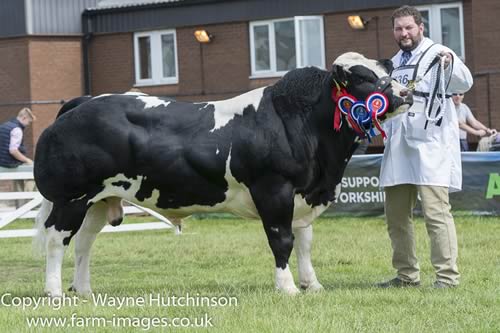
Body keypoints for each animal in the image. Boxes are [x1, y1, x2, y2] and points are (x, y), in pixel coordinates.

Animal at [33, 52, 412, 296]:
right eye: (361, 78)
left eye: (386, 71)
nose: (406, 93)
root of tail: (83, 102)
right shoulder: (274, 189)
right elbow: (282, 240)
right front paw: (288, 288)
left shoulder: (304, 194)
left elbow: (305, 242)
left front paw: (312, 285)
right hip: (71, 197)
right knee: (56, 239)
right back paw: (55, 292)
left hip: (101, 198)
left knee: (84, 242)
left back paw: (83, 290)